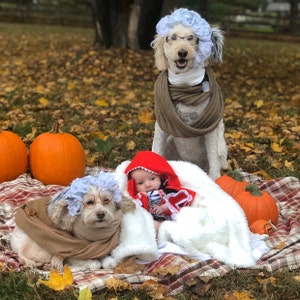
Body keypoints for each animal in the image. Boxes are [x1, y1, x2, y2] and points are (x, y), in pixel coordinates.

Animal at [151, 8, 229, 179]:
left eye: (191, 38)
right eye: (172, 38)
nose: (182, 52)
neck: (185, 85)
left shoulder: (211, 131)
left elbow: (214, 160)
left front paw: (216, 181)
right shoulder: (162, 127)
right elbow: (156, 149)